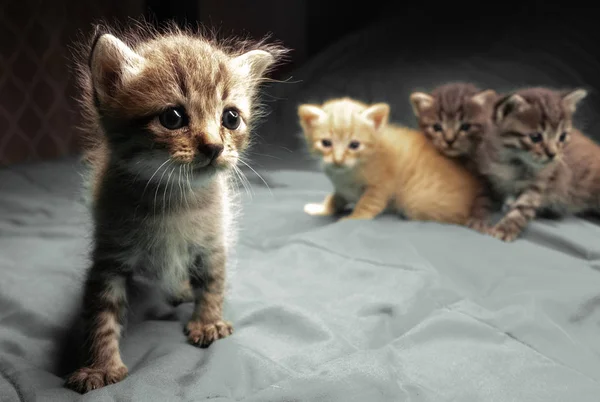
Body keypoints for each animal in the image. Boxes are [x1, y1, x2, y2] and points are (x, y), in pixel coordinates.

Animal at [298, 96, 480, 225]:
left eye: (354, 145)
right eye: (326, 143)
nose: (338, 159)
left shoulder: (381, 187)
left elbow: (366, 205)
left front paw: (351, 219)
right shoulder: (342, 188)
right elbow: (335, 198)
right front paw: (321, 208)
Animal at [408, 82, 502, 229]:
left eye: (465, 126)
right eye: (437, 127)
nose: (449, 140)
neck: (459, 159)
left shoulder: (484, 173)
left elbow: (482, 195)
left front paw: (479, 217)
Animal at [476, 86, 592, 240]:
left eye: (562, 137)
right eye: (536, 137)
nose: (553, 154)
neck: (514, 160)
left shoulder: (538, 182)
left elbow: (522, 208)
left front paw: (506, 228)